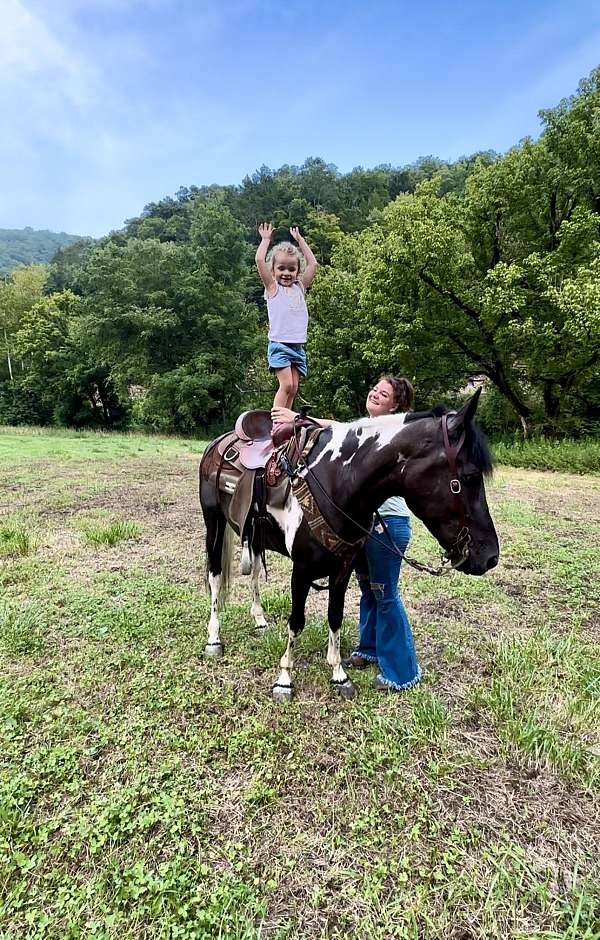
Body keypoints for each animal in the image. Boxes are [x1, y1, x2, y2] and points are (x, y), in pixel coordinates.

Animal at [199, 388, 500, 696]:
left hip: (255, 534)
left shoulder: (343, 567)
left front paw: (338, 674)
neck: (338, 480)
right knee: (215, 576)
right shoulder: (302, 570)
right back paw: (214, 638)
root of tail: (219, 443)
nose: (491, 556)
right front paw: (284, 678)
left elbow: (335, 615)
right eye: (471, 476)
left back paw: (259, 621)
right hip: (215, 523)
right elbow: (296, 621)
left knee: (255, 573)